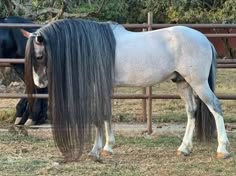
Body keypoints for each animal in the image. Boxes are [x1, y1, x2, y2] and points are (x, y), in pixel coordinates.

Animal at [21, 18, 229, 161]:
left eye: (38, 56)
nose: (39, 83)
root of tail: (204, 39)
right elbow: (106, 114)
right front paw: (107, 147)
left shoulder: (98, 87)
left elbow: (99, 115)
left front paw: (95, 151)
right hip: (183, 83)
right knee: (192, 111)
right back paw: (184, 148)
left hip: (198, 83)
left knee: (215, 107)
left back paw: (222, 149)